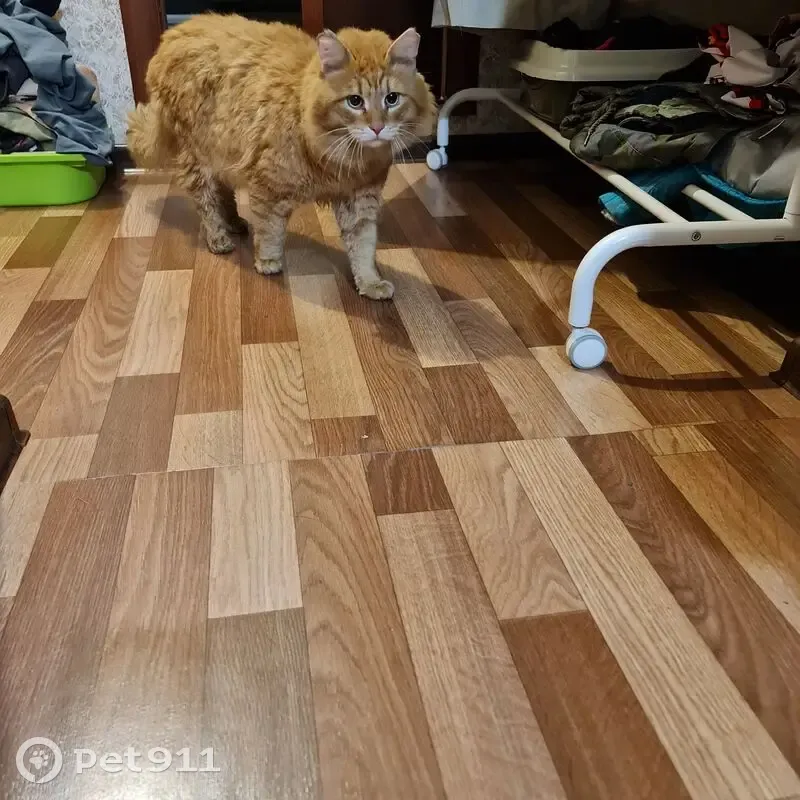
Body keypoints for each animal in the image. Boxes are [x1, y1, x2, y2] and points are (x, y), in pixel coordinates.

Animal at [127, 16, 436, 299]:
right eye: (355, 101)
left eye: (392, 99)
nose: (377, 128)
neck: (346, 159)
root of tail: (173, 34)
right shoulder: (268, 186)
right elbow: (270, 231)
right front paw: (267, 262)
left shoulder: (360, 199)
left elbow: (363, 247)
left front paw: (370, 283)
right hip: (199, 158)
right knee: (207, 205)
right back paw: (219, 239)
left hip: (223, 153)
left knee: (224, 192)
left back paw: (235, 223)